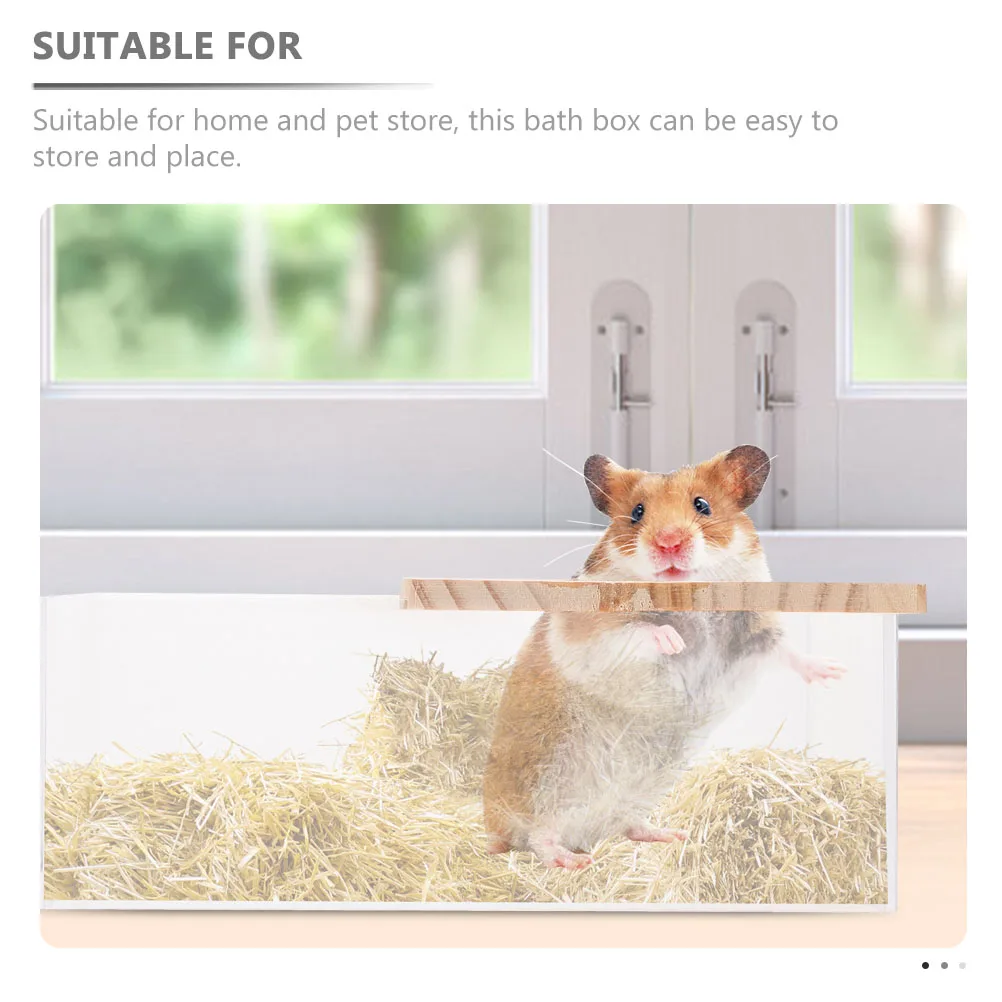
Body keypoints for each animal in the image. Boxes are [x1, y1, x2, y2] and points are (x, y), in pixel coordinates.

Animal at [482, 445, 845, 869]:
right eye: (637, 512)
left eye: (702, 505)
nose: (669, 543)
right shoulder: (590, 627)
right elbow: (637, 631)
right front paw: (675, 641)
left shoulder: (756, 626)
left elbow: (787, 650)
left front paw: (833, 672)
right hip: (545, 784)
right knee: (538, 837)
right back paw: (572, 861)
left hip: (642, 789)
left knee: (627, 825)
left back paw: (670, 835)